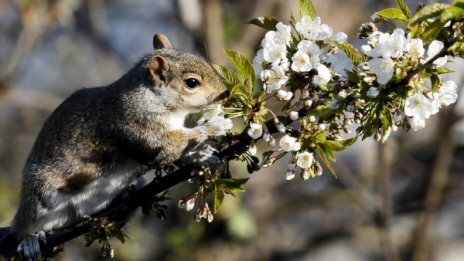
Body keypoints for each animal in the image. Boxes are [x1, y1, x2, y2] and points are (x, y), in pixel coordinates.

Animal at [0, 33, 230, 258]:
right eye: (191, 82)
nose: (226, 93)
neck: (152, 96)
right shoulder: (137, 124)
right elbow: (168, 146)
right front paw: (214, 126)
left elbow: (178, 153)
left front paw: (202, 158)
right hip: (41, 195)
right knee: (27, 223)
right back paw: (29, 240)